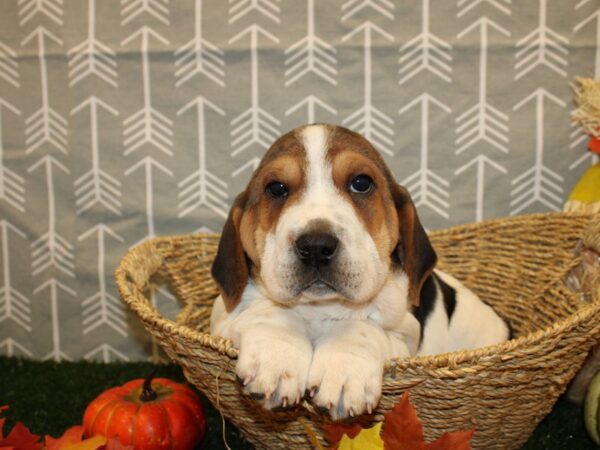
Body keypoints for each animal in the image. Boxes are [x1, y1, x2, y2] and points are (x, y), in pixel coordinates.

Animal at [209, 122, 508, 418]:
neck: (320, 308)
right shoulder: (223, 320)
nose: (316, 246)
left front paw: (343, 371)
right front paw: (278, 356)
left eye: (361, 183)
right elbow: (273, 314)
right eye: (276, 188)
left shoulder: (404, 339)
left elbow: (360, 327)